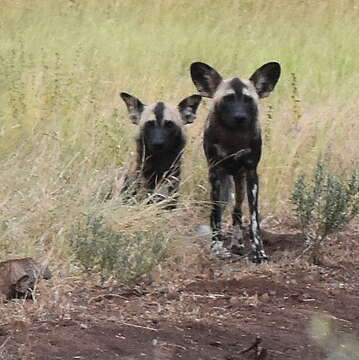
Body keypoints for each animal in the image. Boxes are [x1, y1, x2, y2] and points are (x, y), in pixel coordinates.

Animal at [190, 61, 282, 262]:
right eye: (228, 99)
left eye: (248, 100)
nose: (240, 117)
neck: (233, 137)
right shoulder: (216, 173)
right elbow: (216, 216)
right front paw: (216, 248)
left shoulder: (251, 174)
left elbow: (254, 219)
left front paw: (259, 252)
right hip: (224, 184)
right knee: (217, 213)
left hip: (240, 182)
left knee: (237, 212)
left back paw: (237, 243)